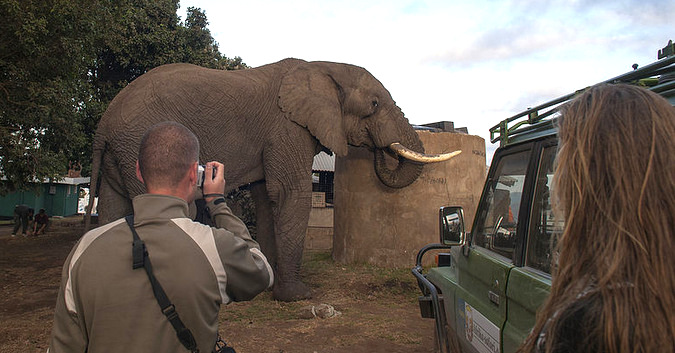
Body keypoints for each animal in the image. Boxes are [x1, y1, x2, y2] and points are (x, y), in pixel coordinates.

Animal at [87, 57, 460, 300]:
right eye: (373, 105)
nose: (383, 150)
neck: (322, 67)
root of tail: (104, 122)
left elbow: (266, 198)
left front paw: (264, 281)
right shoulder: (287, 128)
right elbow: (290, 194)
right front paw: (297, 296)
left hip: (120, 154)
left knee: (112, 207)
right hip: (139, 145)